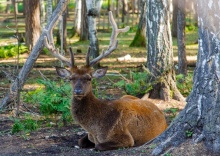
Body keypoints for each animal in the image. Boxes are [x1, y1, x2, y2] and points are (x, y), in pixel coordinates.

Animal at [44, 11, 167, 151]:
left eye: (89, 78)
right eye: (71, 78)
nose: (78, 91)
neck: (95, 128)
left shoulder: (126, 137)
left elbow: (98, 146)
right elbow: (80, 141)